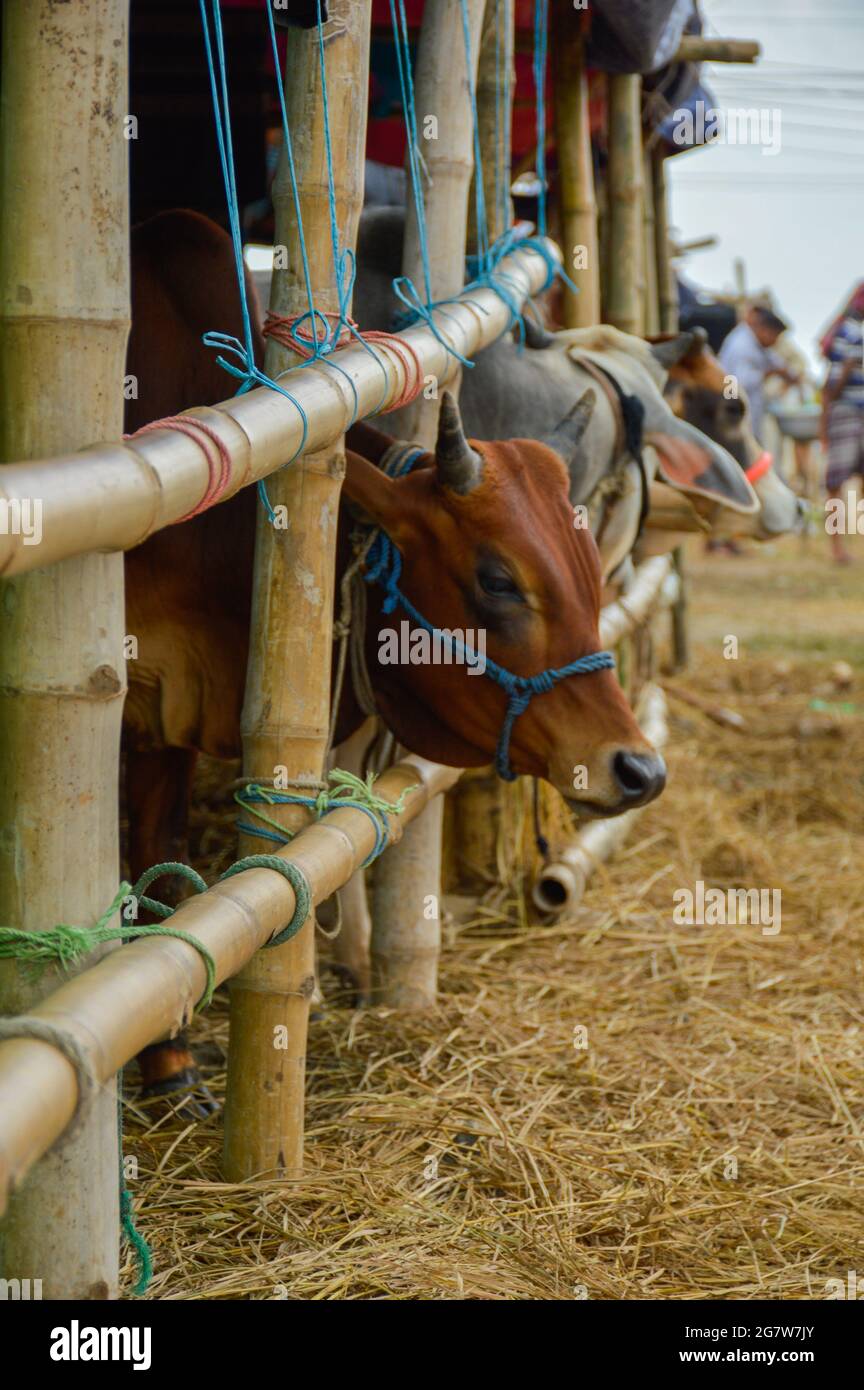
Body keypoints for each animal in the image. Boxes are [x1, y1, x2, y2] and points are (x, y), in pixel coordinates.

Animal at [125, 208, 666, 1095]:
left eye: (592, 576)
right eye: (498, 579)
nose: (638, 769)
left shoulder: (168, 711)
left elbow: (158, 866)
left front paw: (168, 1064)